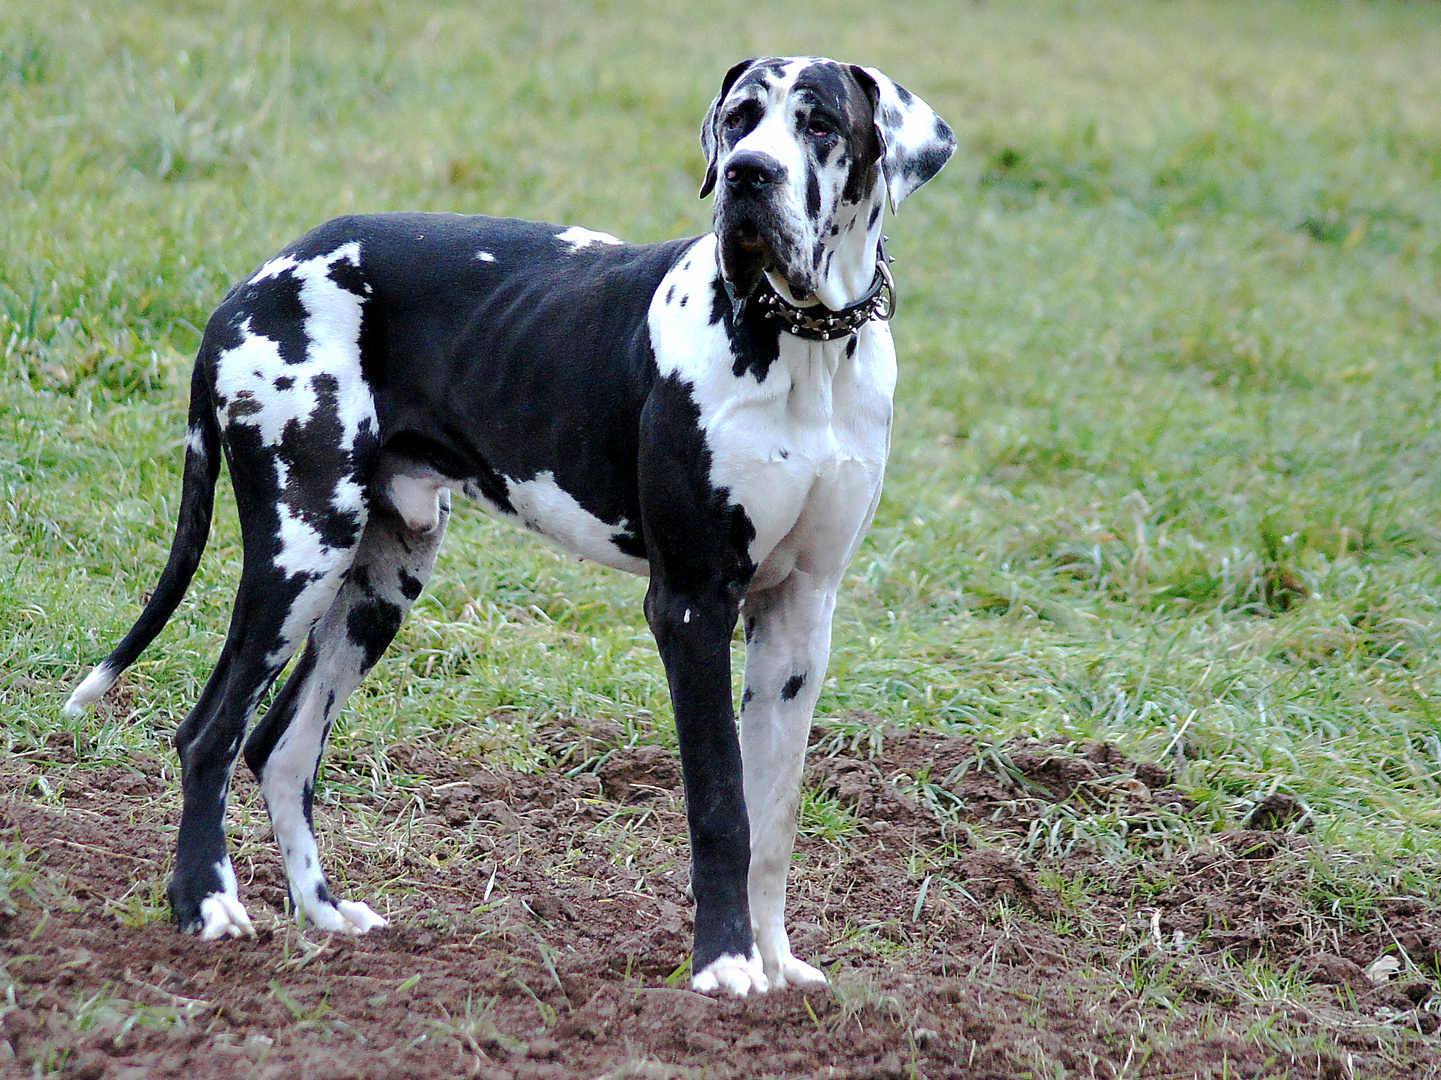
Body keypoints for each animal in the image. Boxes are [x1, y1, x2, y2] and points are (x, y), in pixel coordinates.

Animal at [67, 54, 951, 992]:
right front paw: (721, 966)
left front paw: (773, 965)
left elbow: (771, 818)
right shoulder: (691, 605)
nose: (749, 174)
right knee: (209, 733)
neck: (807, 342)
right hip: (301, 550)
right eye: (740, 119)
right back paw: (204, 905)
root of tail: (258, 278)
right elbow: (720, 808)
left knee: (279, 746)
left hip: (378, 581)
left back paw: (323, 912)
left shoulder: (799, 619)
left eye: (819, 124)